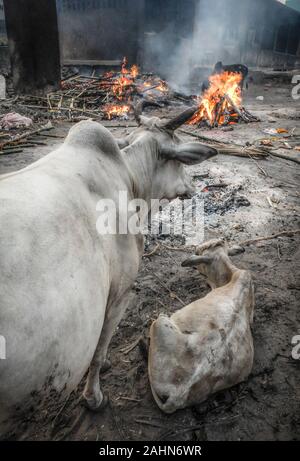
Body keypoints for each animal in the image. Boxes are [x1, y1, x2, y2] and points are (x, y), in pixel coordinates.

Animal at [0, 105, 217, 434]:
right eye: (179, 160)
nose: (192, 186)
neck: (130, 178)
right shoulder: (119, 294)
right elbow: (100, 349)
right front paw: (94, 397)